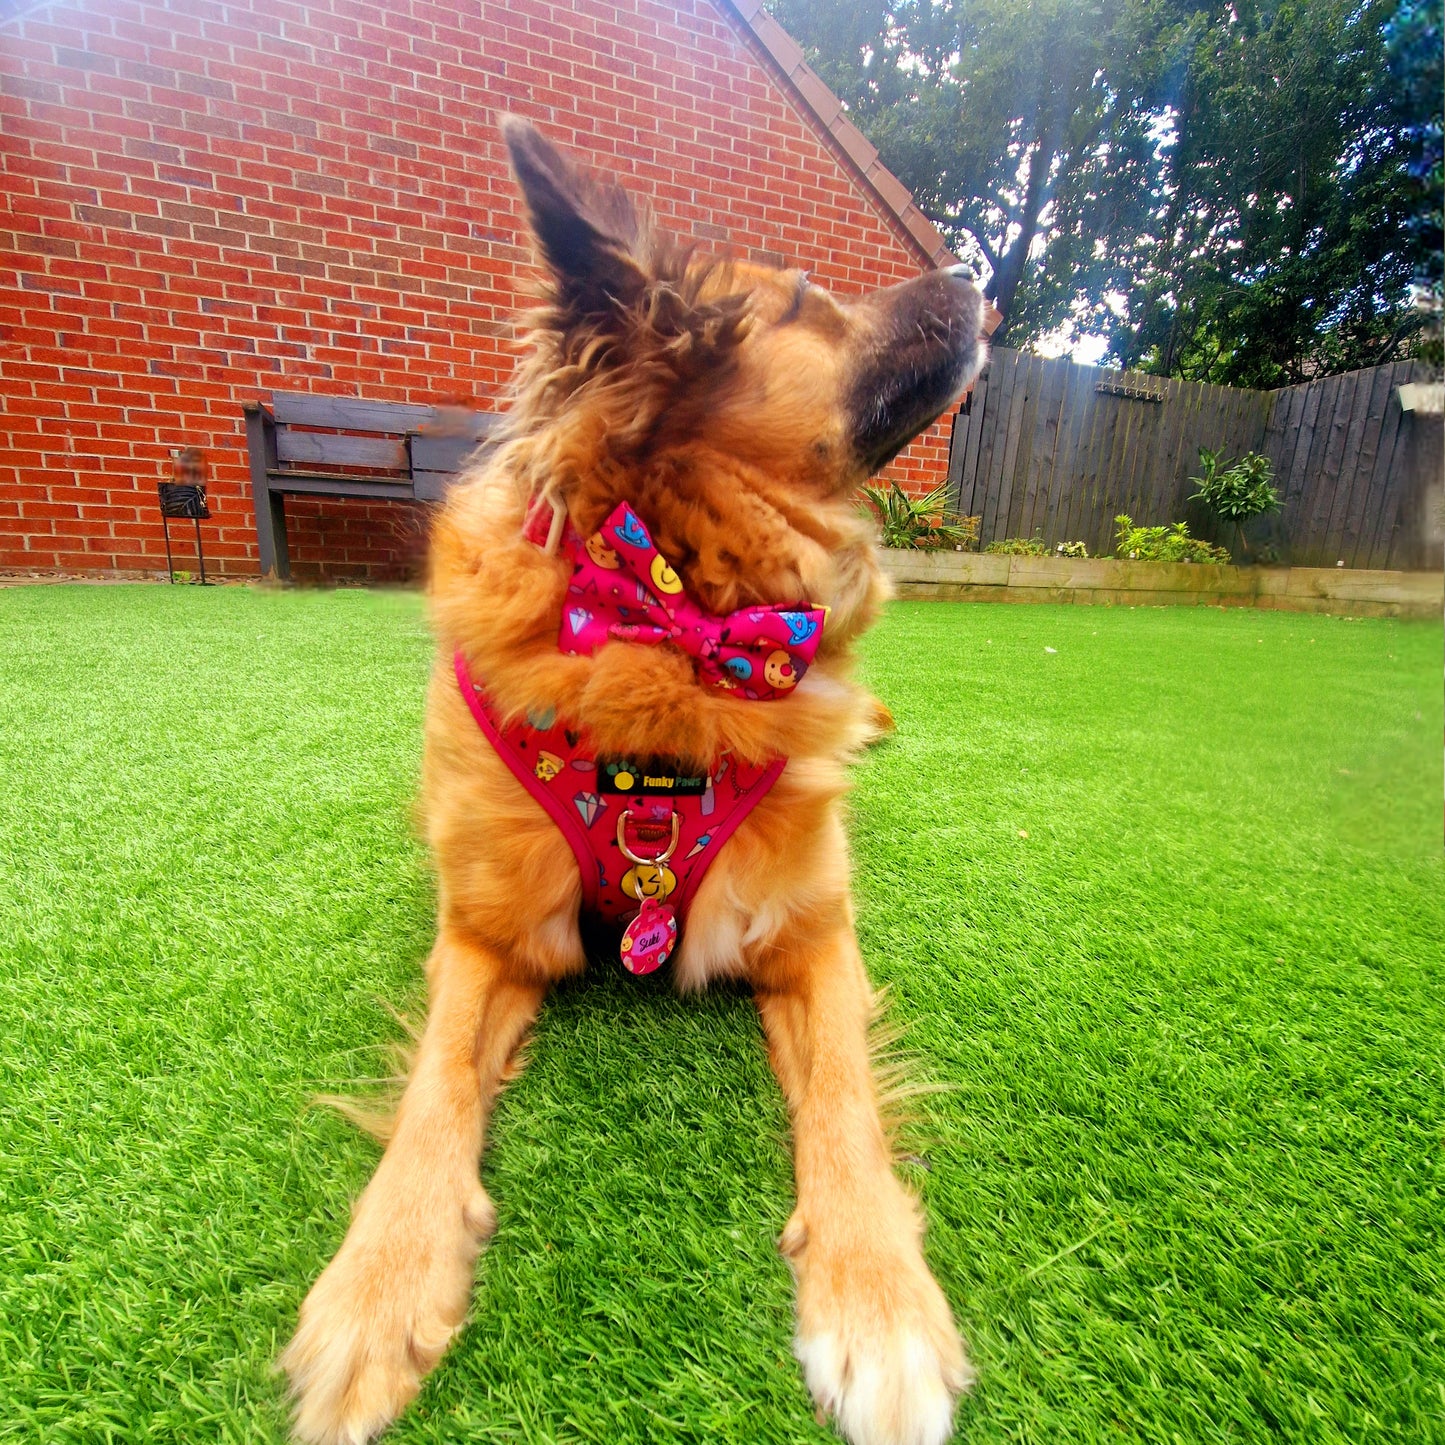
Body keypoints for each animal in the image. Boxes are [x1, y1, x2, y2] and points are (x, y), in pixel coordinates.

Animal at [278, 121, 982, 1445]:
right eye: (803, 300)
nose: (973, 271)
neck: (676, 620)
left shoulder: (814, 932)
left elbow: (844, 1101)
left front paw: (876, 1305)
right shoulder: (487, 934)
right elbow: (435, 1091)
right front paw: (378, 1285)